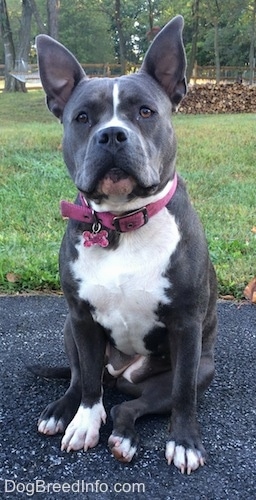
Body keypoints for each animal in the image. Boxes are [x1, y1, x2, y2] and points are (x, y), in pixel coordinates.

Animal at [34, 15, 218, 474]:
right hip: (70, 329)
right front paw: (83, 422)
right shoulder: (82, 318)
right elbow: (87, 385)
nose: (113, 135)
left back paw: (123, 435)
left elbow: (183, 394)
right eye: (82, 117)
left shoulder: (186, 327)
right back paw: (63, 412)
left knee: (130, 407)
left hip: (198, 367)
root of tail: (122, 375)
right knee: (85, 379)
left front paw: (185, 442)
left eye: (146, 112)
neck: (121, 224)